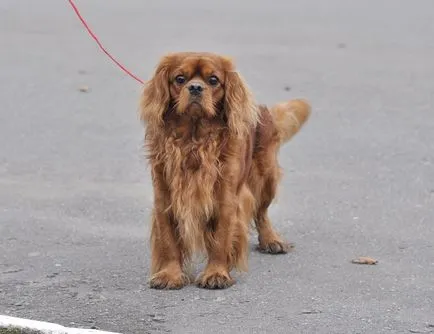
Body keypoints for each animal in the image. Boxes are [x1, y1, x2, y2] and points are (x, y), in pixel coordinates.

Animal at [139, 52, 308, 290]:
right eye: (180, 79)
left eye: (213, 80)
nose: (195, 88)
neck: (194, 139)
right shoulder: (165, 198)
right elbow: (169, 241)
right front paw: (170, 275)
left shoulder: (225, 199)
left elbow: (220, 240)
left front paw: (216, 274)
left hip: (266, 178)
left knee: (261, 212)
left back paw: (271, 240)